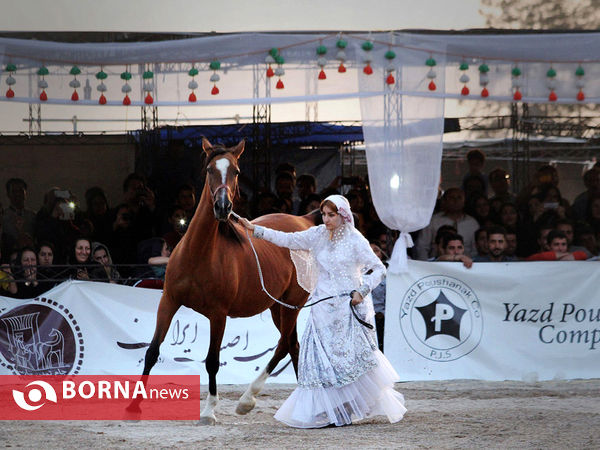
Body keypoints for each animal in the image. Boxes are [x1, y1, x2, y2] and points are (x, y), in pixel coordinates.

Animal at [135, 139, 314, 424]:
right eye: (210, 169)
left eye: (237, 171)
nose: (222, 207)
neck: (198, 253)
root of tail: (303, 220)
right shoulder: (169, 301)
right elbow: (152, 351)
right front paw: (133, 407)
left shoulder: (218, 315)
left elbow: (212, 361)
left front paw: (209, 411)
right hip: (277, 307)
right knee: (293, 345)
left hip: (292, 304)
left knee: (283, 346)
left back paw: (247, 400)